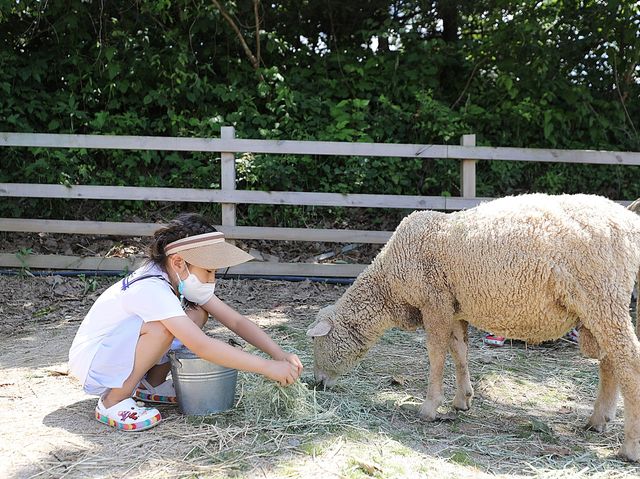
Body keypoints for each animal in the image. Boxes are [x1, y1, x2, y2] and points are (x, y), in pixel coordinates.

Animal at [306, 193, 640, 464]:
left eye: (317, 344)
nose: (317, 383)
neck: (388, 285)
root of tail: (629, 221)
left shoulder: (435, 302)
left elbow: (436, 354)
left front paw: (429, 407)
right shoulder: (455, 308)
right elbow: (459, 351)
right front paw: (462, 399)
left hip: (601, 296)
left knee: (629, 362)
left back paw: (629, 447)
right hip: (601, 305)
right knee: (610, 361)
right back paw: (597, 419)